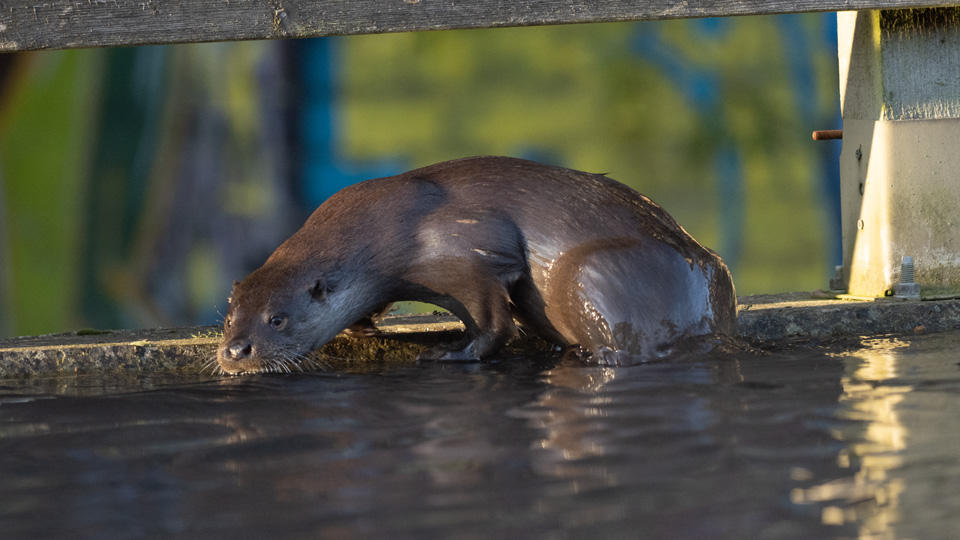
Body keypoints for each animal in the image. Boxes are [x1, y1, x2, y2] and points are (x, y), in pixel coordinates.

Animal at [217, 156, 736, 374]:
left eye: (277, 319)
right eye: (228, 317)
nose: (234, 351)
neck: (390, 227)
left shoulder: (469, 255)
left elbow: (493, 326)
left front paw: (448, 353)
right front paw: (362, 325)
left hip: (592, 273)